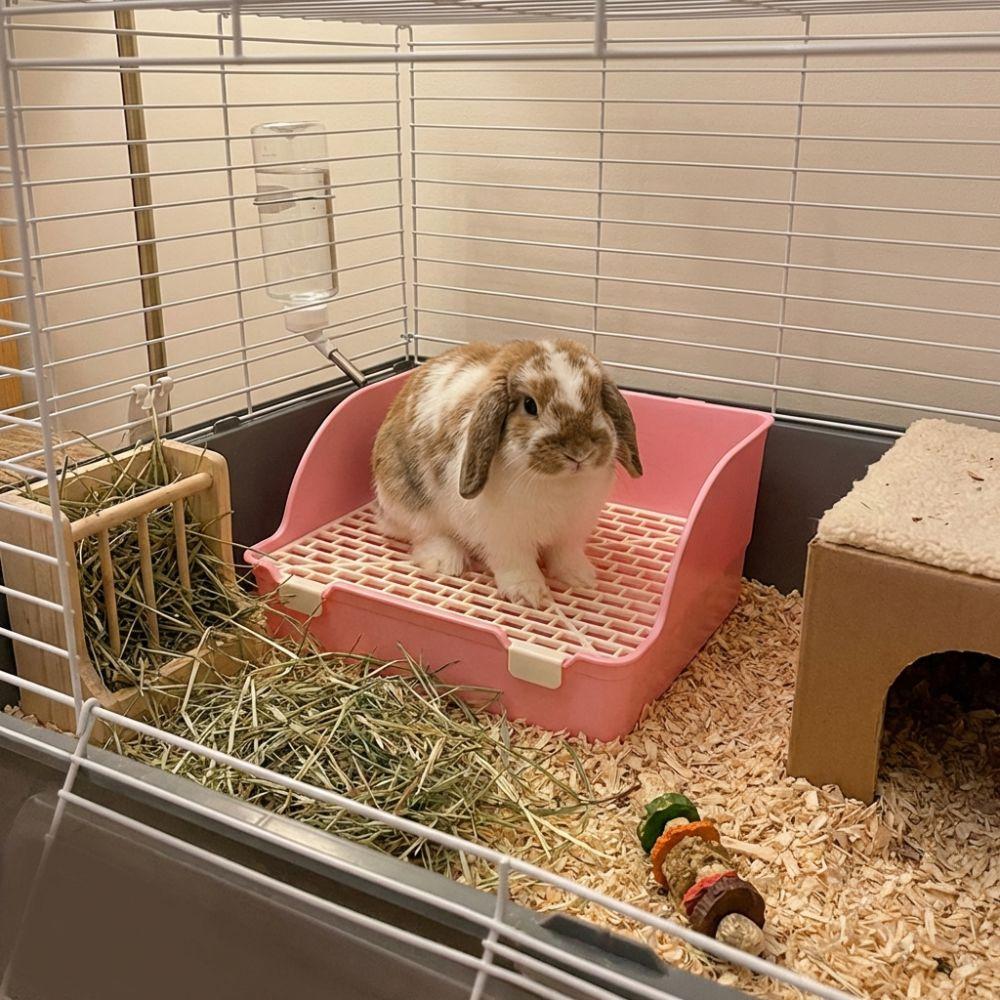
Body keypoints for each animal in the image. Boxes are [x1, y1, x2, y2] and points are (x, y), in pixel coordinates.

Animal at [372, 338, 643, 608]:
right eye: (530, 405)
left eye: (597, 399)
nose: (579, 452)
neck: (559, 482)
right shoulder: (505, 537)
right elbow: (517, 565)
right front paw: (531, 594)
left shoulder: (570, 532)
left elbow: (565, 555)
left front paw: (582, 578)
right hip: (410, 500)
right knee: (425, 533)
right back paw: (445, 562)